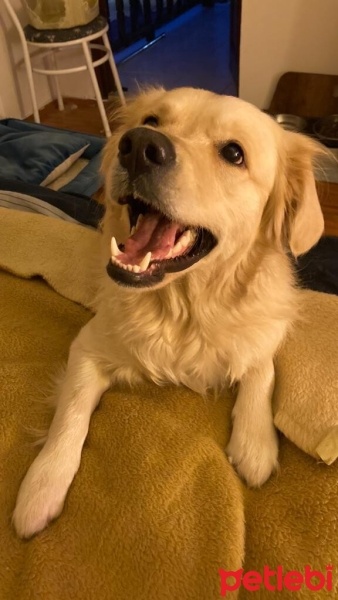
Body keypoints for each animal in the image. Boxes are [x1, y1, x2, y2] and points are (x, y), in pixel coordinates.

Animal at [12, 85, 324, 540]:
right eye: (152, 121)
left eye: (234, 153)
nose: (139, 146)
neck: (183, 308)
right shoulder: (88, 345)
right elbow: (69, 416)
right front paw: (41, 487)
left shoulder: (264, 331)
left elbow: (260, 370)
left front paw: (255, 444)